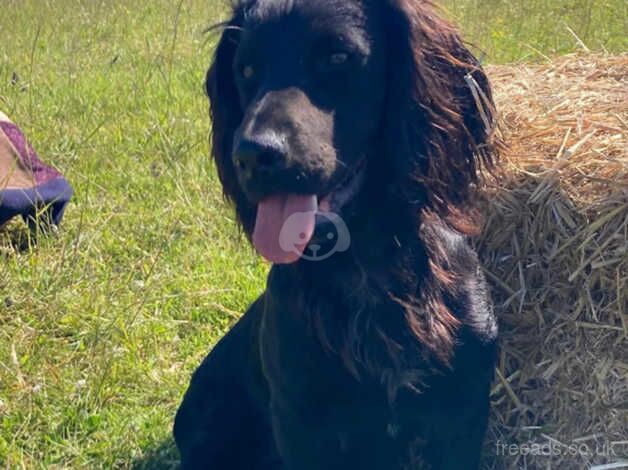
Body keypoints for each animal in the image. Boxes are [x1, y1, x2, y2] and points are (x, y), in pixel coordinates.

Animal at [174, 1, 498, 468]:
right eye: (247, 69)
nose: (250, 155)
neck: (368, 272)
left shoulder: (463, 415)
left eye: (337, 57)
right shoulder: (302, 421)